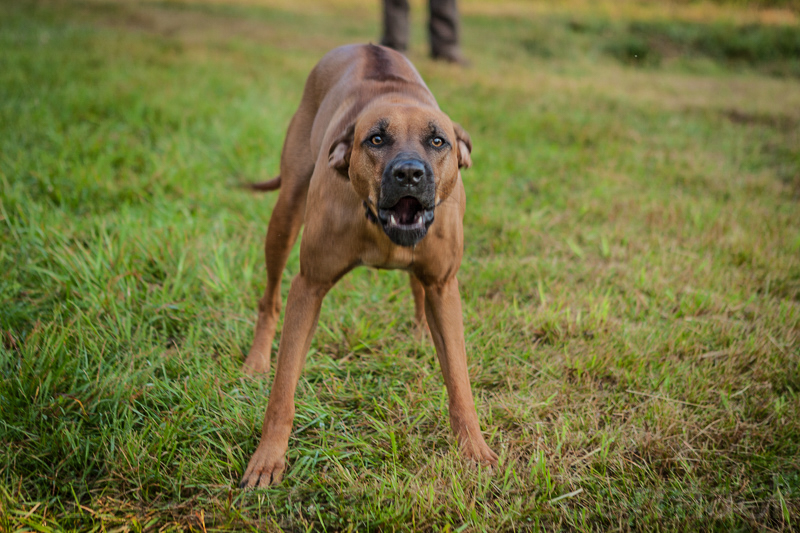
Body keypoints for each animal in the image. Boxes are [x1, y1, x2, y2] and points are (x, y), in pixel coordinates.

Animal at [241, 44, 496, 486]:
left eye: (438, 141)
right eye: (376, 139)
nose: (409, 173)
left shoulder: (445, 285)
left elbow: (460, 381)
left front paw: (474, 449)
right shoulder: (309, 285)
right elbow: (283, 388)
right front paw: (268, 458)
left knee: (417, 288)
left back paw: (421, 333)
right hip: (286, 211)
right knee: (269, 299)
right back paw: (257, 359)